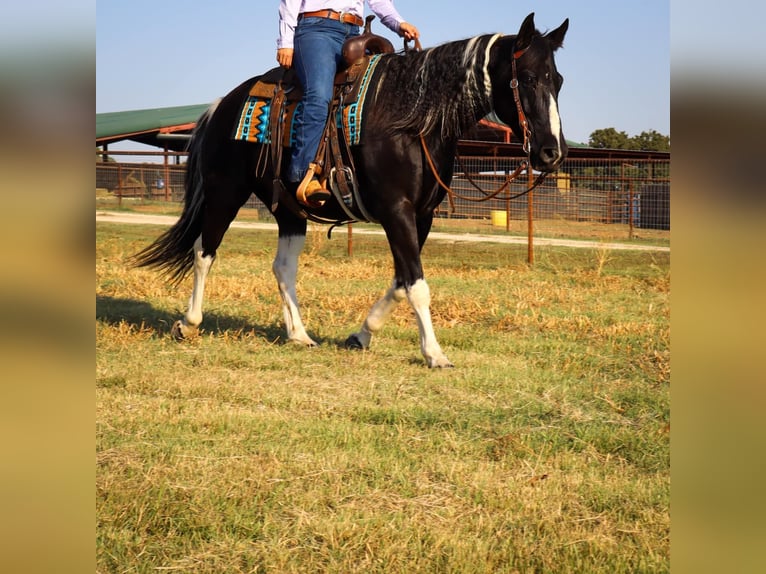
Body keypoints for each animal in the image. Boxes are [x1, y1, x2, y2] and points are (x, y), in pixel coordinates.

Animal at [132, 13, 569, 368]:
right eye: (528, 78)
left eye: (559, 81)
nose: (551, 152)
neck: (412, 117)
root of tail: (222, 104)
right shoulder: (396, 210)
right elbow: (417, 286)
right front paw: (434, 353)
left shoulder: (422, 216)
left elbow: (401, 282)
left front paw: (361, 335)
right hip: (225, 191)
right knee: (204, 252)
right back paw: (188, 323)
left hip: (288, 209)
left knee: (283, 267)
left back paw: (299, 335)